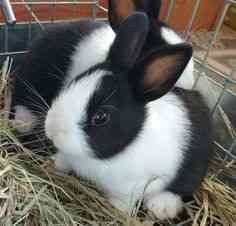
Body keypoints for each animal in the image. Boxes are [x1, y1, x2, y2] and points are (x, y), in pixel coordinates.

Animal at [43, 12, 212, 221]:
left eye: (101, 117)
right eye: (72, 83)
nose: (52, 130)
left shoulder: (131, 187)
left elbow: (123, 203)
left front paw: (116, 211)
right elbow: (64, 161)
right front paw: (53, 163)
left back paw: (161, 207)